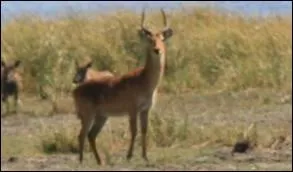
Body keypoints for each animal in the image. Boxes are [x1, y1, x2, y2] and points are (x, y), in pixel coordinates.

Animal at [72, 8, 172, 165]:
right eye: (150, 39)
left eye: (162, 39)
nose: (157, 50)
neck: (144, 80)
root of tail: (76, 89)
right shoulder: (132, 110)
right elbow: (134, 130)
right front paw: (129, 156)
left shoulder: (145, 110)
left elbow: (144, 130)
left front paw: (145, 156)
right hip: (88, 115)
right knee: (81, 134)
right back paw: (82, 161)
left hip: (101, 117)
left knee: (91, 135)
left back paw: (100, 161)